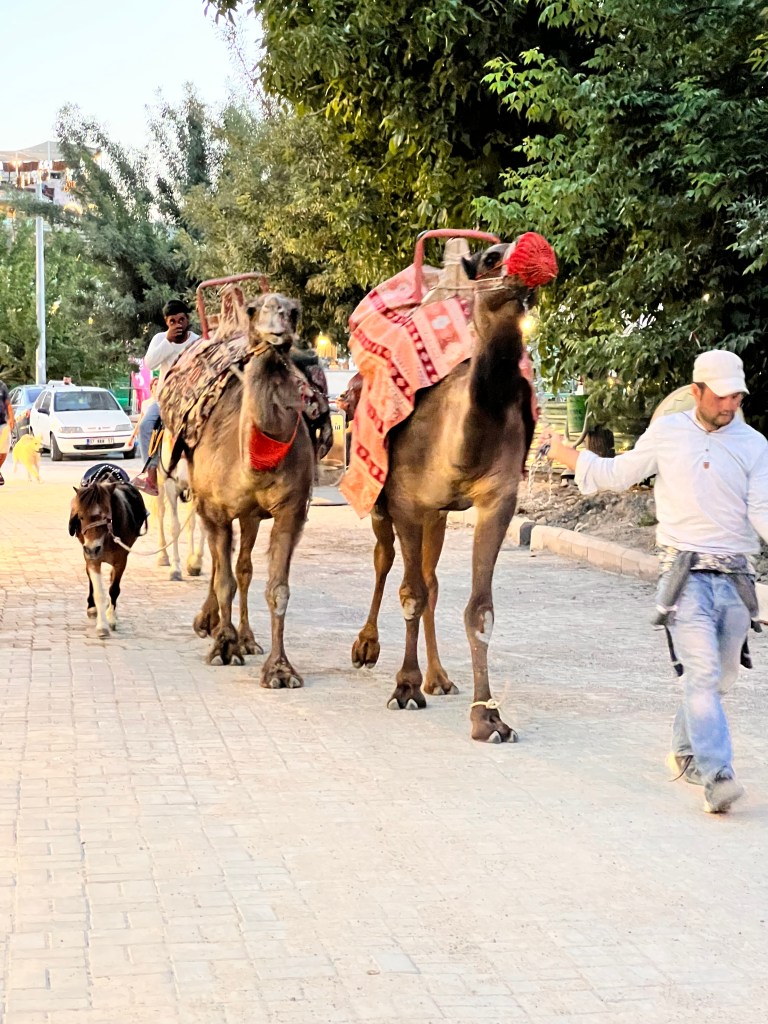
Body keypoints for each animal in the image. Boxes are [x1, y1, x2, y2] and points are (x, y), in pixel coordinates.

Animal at [68, 480, 148, 637]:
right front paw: (102, 626)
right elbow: (99, 592)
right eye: (80, 517)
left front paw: (111, 618)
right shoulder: (92, 559)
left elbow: (114, 589)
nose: (92, 548)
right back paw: (92, 607)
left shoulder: (121, 560)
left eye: (107, 517)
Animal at [183, 292, 314, 688]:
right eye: (256, 310)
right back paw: (211, 625)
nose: (277, 326)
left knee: (243, 567)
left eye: (293, 312)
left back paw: (247, 638)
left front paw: (280, 669)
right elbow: (223, 578)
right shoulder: (214, 509)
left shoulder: (290, 511)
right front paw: (223, 647)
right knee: (220, 564)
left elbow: (277, 589)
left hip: (252, 516)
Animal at [351, 238, 556, 742]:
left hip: (438, 513)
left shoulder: (497, 499)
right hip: (383, 502)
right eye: (492, 258)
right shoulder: (406, 500)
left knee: (432, 579)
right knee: (385, 561)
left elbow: (479, 609)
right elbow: (409, 593)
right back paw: (366, 647)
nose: (534, 262)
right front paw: (405, 688)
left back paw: (439, 677)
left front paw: (489, 716)